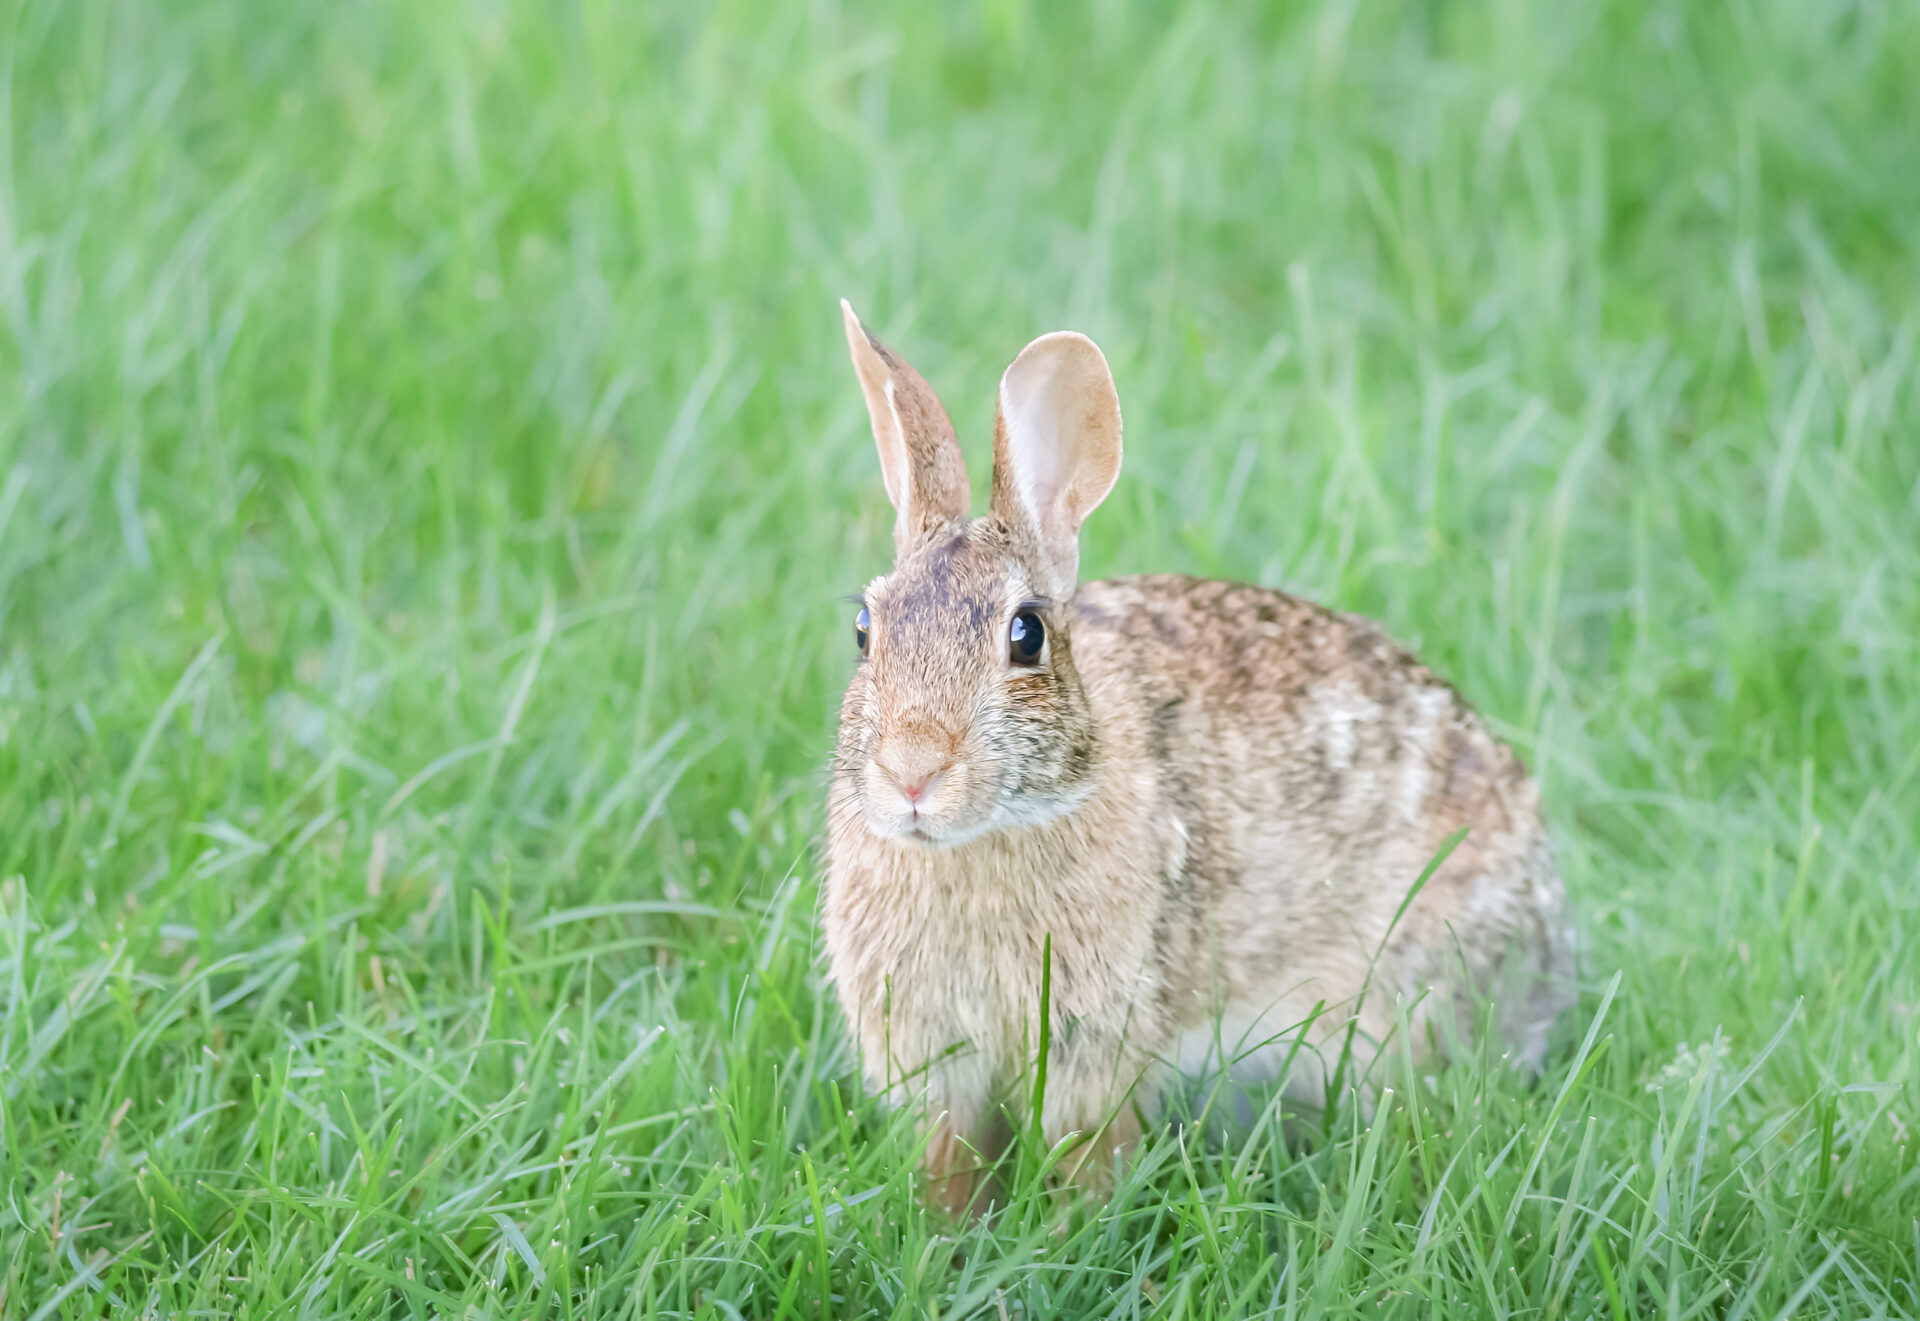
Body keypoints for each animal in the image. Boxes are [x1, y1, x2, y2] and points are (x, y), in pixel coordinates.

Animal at [825, 299, 1574, 1221]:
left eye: (1026, 634)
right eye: (865, 629)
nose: (912, 771)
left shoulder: (1096, 1043)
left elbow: (1088, 1153)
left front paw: (1076, 1232)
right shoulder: (939, 1062)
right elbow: (950, 1161)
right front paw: (946, 1235)